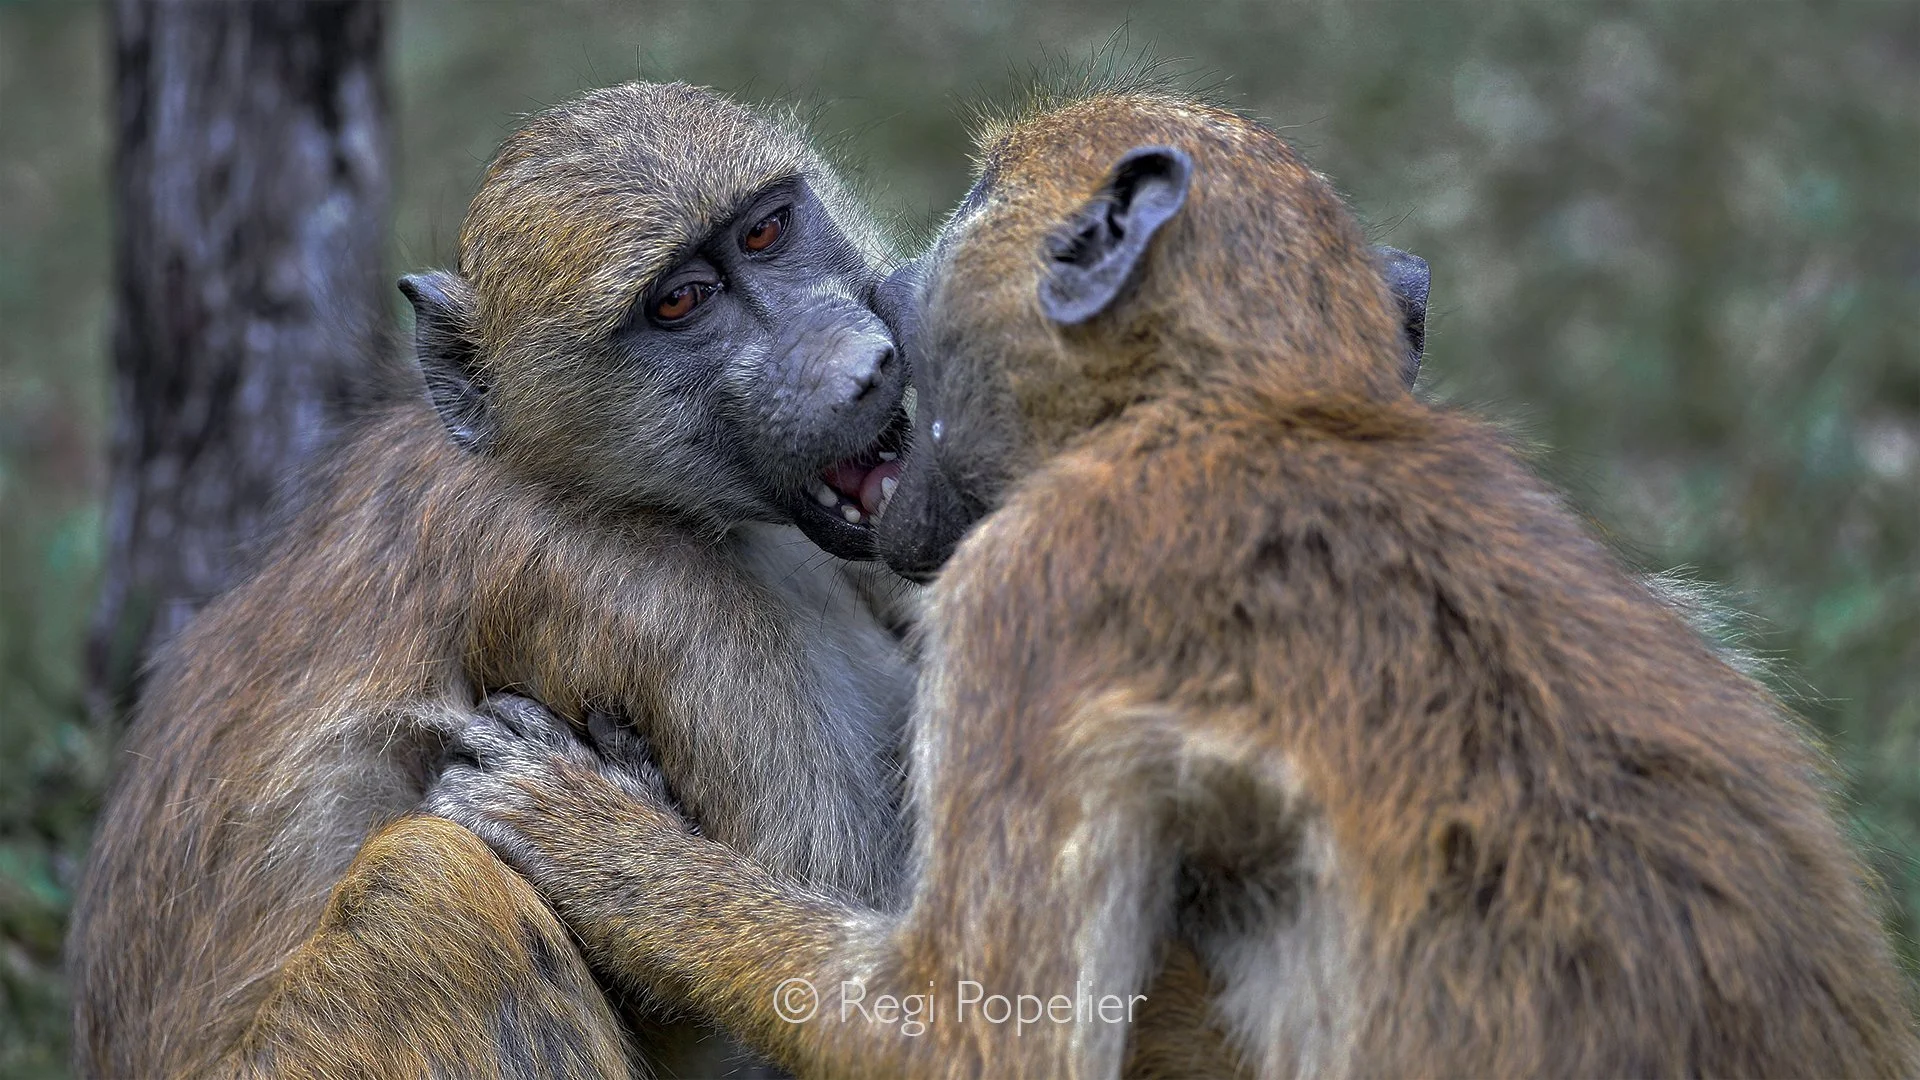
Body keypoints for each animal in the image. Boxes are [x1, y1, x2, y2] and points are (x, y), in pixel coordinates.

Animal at [427, 85, 1920, 1078]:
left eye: (976, 199)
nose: (882, 297)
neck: (1239, 411)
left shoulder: (1031, 592)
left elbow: (971, 1040)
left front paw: (590, 836)